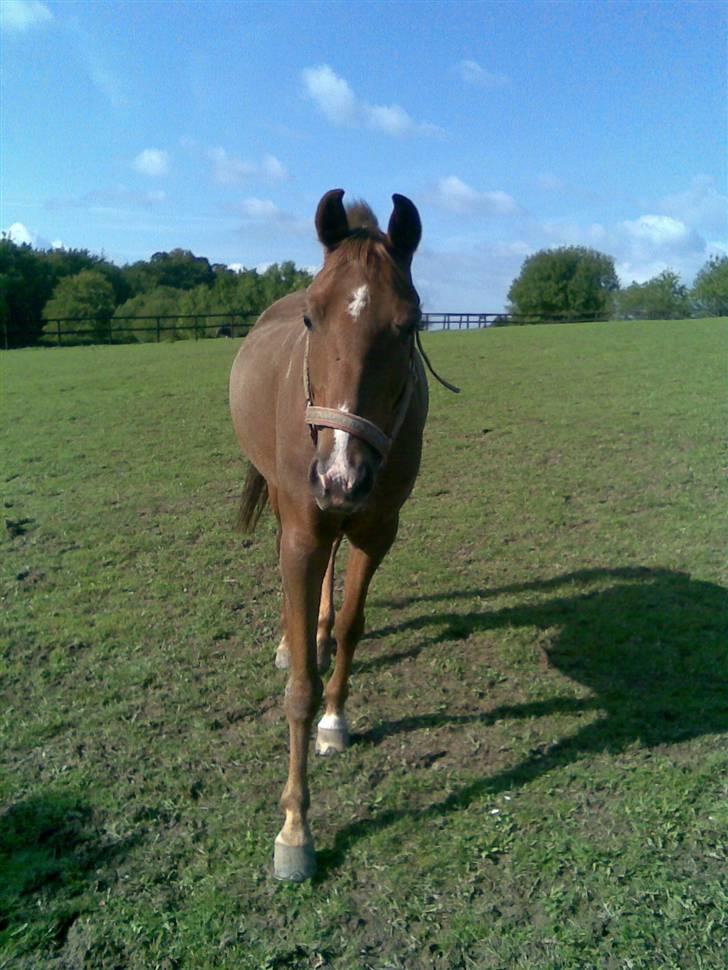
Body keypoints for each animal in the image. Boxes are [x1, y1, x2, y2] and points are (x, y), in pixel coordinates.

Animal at [229, 187, 432, 876]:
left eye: (409, 324)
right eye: (312, 320)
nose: (341, 476)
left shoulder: (378, 529)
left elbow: (349, 627)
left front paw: (336, 719)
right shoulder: (303, 534)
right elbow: (299, 689)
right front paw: (295, 829)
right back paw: (291, 638)